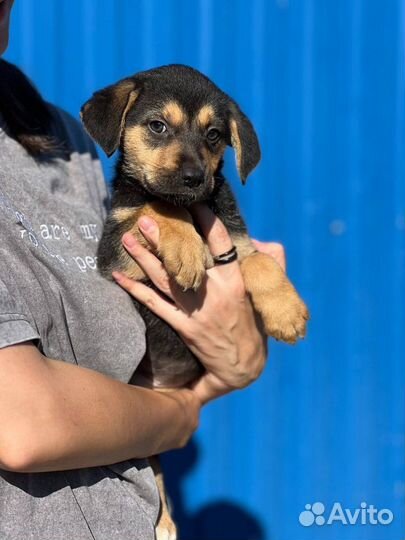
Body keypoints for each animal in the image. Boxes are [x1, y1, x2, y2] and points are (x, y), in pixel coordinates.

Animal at [81, 66, 310, 540]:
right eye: (157, 126)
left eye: (214, 134)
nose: (192, 178)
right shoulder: (116, 251)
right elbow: (157, 205)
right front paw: (186, 248)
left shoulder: (237, 242)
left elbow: (260, 261)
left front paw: (286, 312)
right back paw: (164, 523)